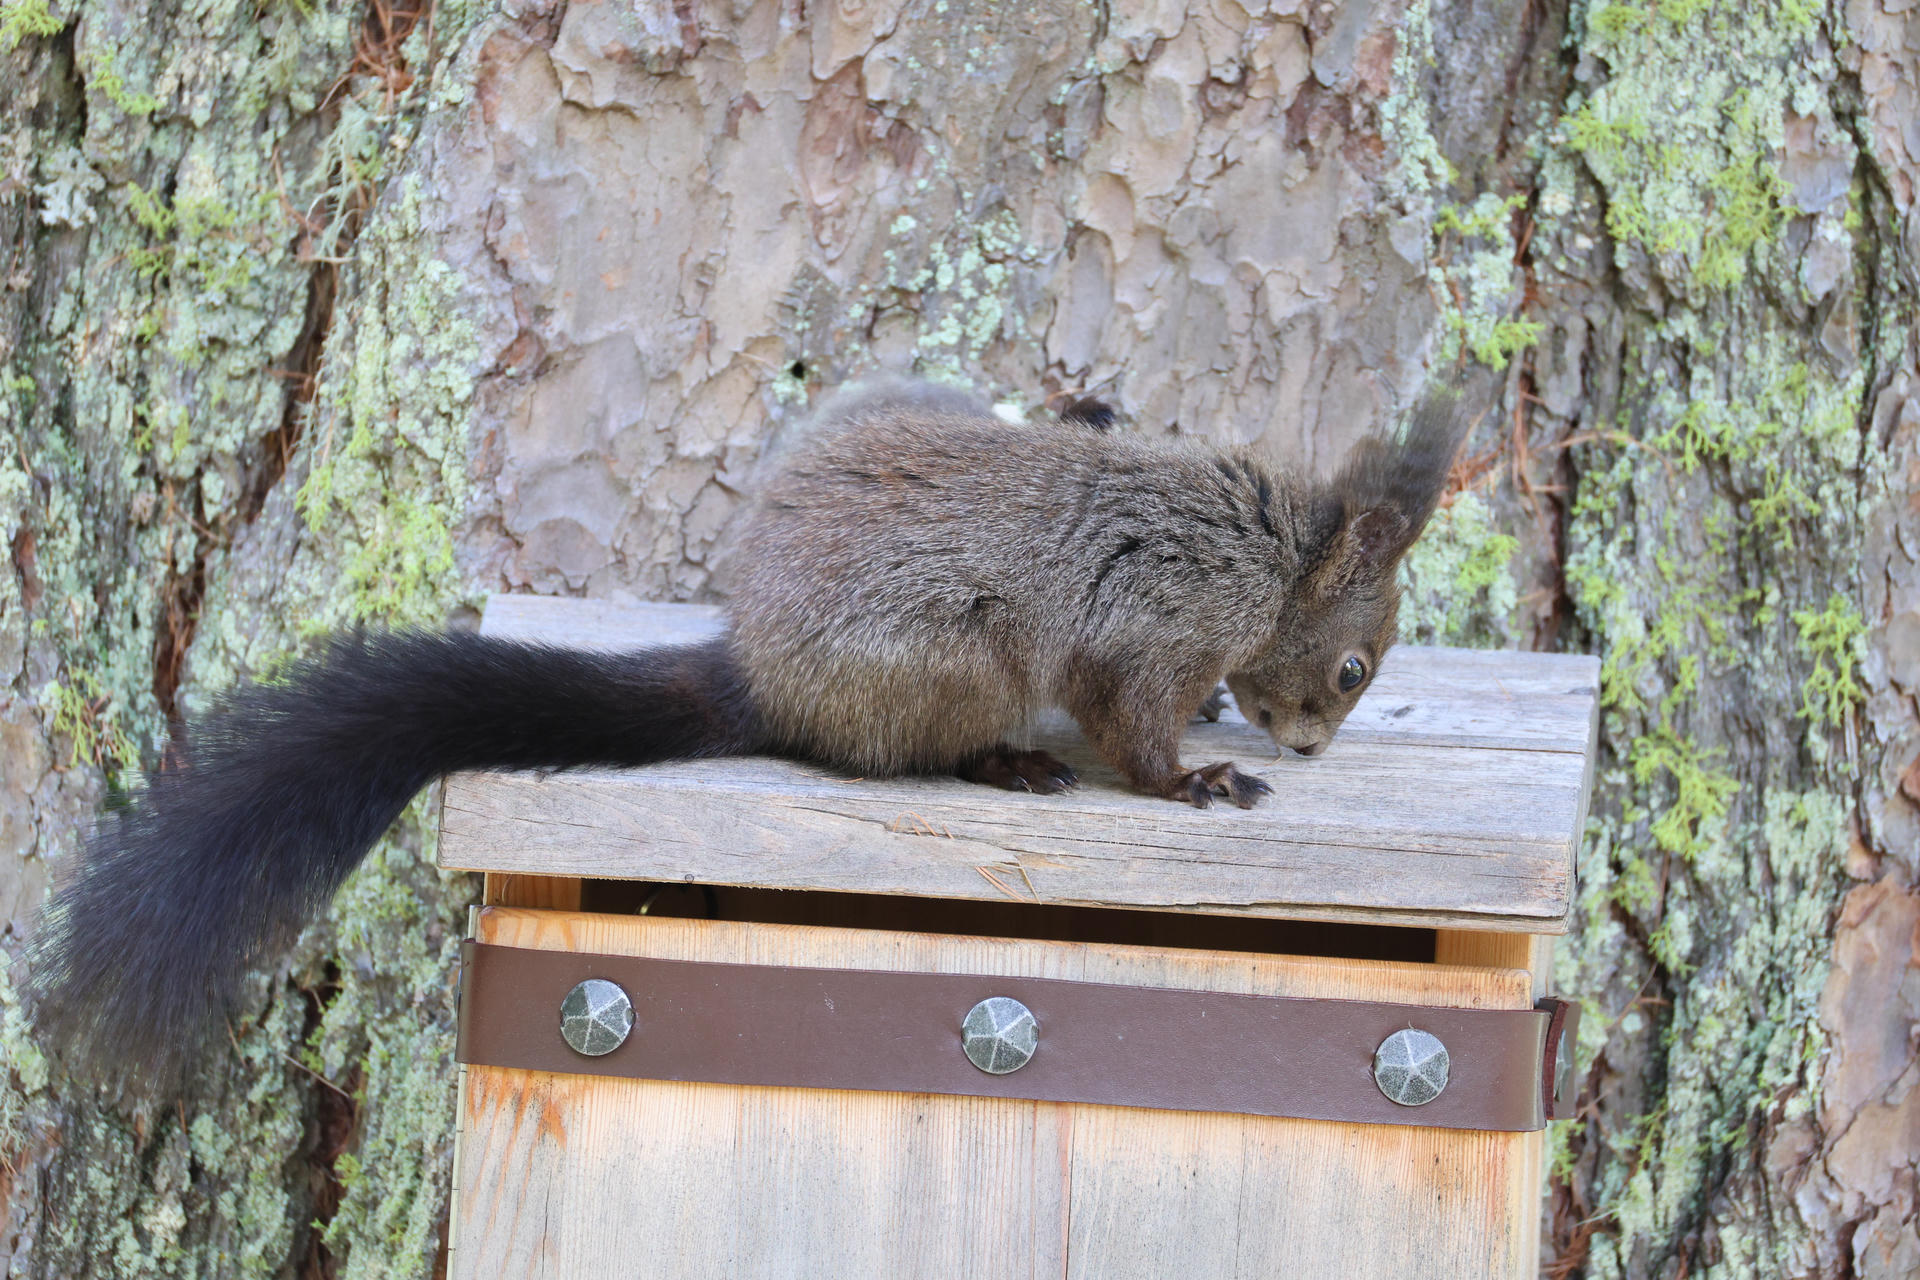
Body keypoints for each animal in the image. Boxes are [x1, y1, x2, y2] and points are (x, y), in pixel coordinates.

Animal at [27, 379, 1468, 1079]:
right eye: (1353, 668)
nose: (1314, 746)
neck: (1272, 557)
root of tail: (761, 675)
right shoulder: (1157, 625)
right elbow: (1132, 728)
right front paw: (1197, 786)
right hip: (955, 659)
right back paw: (1005, 761)